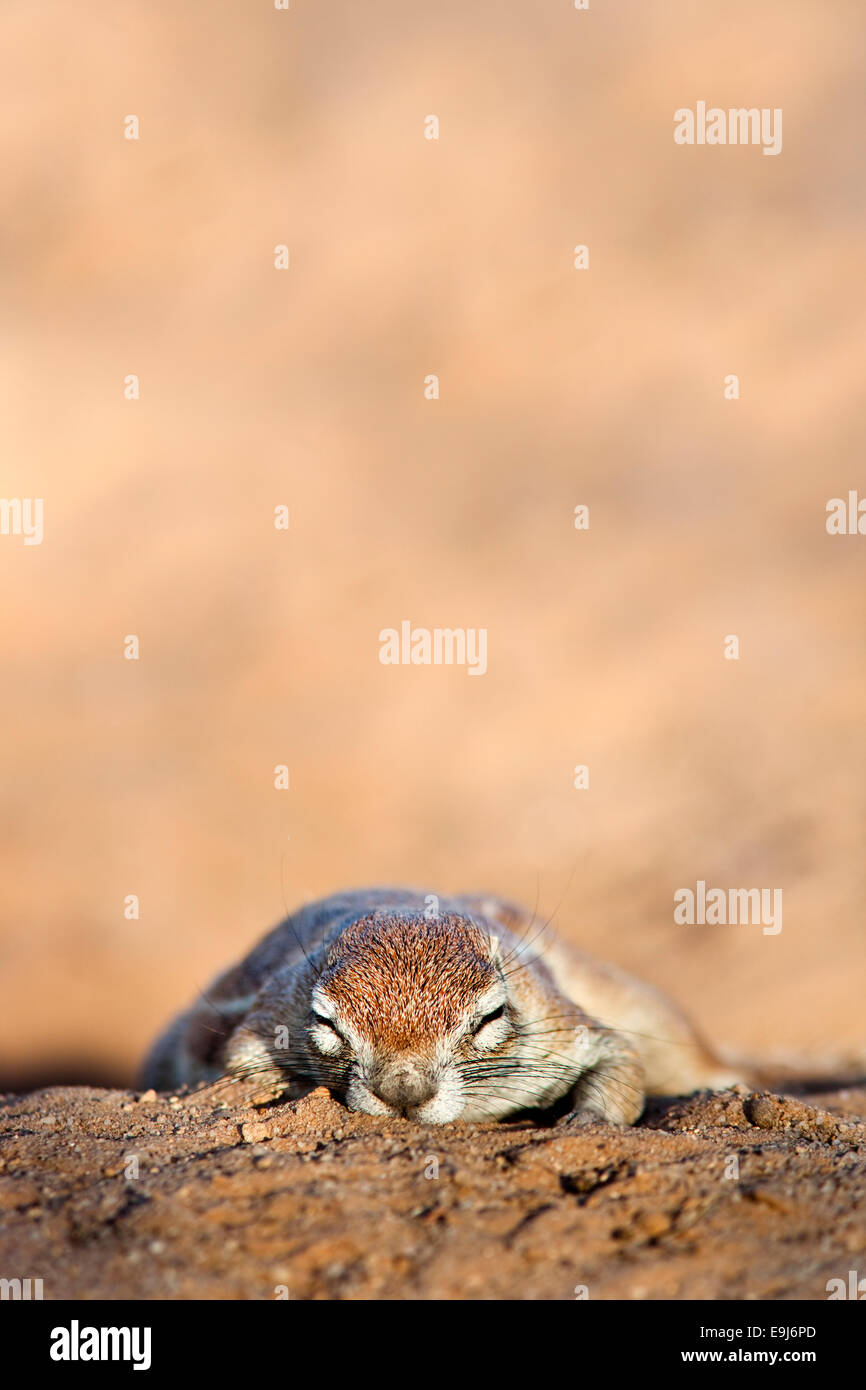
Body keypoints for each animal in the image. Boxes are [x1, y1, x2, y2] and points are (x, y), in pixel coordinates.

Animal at [142, 889, 745, 1128]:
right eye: (326, 1023)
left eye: (491, 1017)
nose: (403, 1093)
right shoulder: (268, 1018)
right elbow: (245, 1065)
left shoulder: (562, 1029)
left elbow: (620, 1059)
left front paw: (587, 1118)